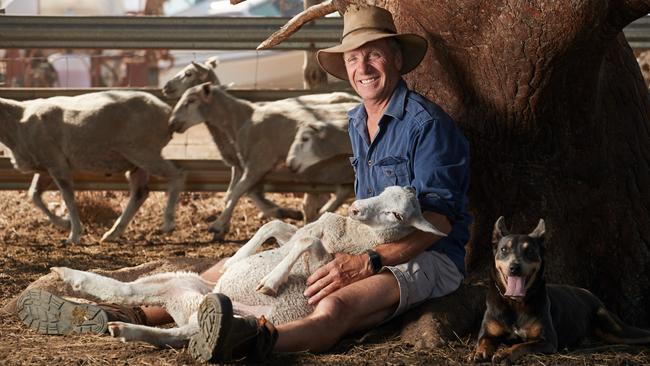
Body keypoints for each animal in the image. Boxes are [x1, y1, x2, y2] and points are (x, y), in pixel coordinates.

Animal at [0, 92, 182, 243]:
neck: (17, 121)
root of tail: (168, 112)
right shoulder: (45, 166)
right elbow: (34, 195)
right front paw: (65, 223)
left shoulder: (57, 163)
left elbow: (68, 197)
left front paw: (74, 234)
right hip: (136, 160)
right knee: (140, 193)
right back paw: (112, 233)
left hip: (143, 152)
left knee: (176, 174)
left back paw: (168, 222)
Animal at [52, 186, 446, 348]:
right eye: (385, 188)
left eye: (398, 215)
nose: (356, 208)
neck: (355, 235)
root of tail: (201, 309)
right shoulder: (302, 232)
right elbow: (276, 228)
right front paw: (237, 259)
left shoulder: (326, 265)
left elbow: (305, 243)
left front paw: (271, 281)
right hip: (180, 284)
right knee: (134, 295)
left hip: (192, 297)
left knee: (167, 324)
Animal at [170, 81, 356, 239]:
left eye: (191, 100)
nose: (172, 123)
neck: (241, 119)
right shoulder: (246, 166)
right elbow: (240, 193)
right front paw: (282, 212)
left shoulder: (257, 163)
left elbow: (237, 193)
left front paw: (217, 225)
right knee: (344, 191)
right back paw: (321, 215)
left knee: (344, 191)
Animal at [470, 217, 648, 364]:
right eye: (503, 250)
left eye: (530, 251)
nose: (515, 268)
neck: (515, 303)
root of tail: (590, 294)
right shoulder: (488, 333)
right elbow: (484, 341)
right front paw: (478, 352)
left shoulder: (547, 341)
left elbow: (521, 346)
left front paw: (505, 353)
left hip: (614, 328)